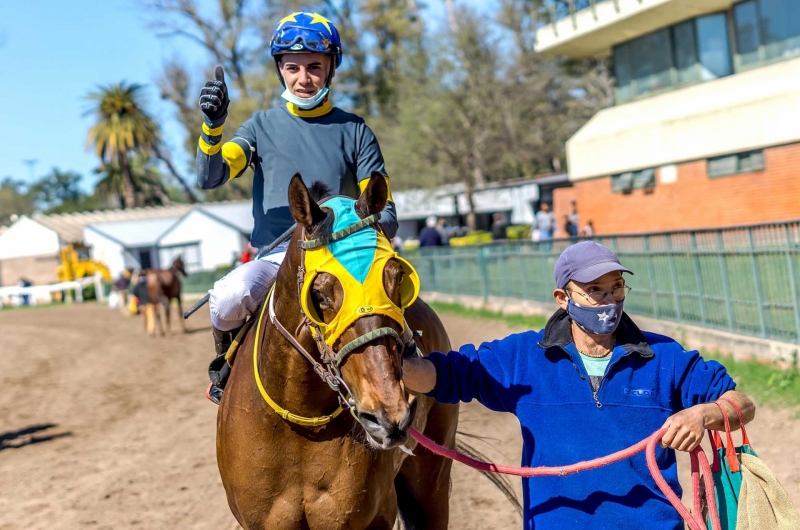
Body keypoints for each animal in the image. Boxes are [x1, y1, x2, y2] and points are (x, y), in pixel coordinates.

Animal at [216, 174, 460, 528]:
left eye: (397, 278)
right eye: (318, 294)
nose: (389, 418)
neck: (301, 426)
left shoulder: (371, 516)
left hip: (433, 479)